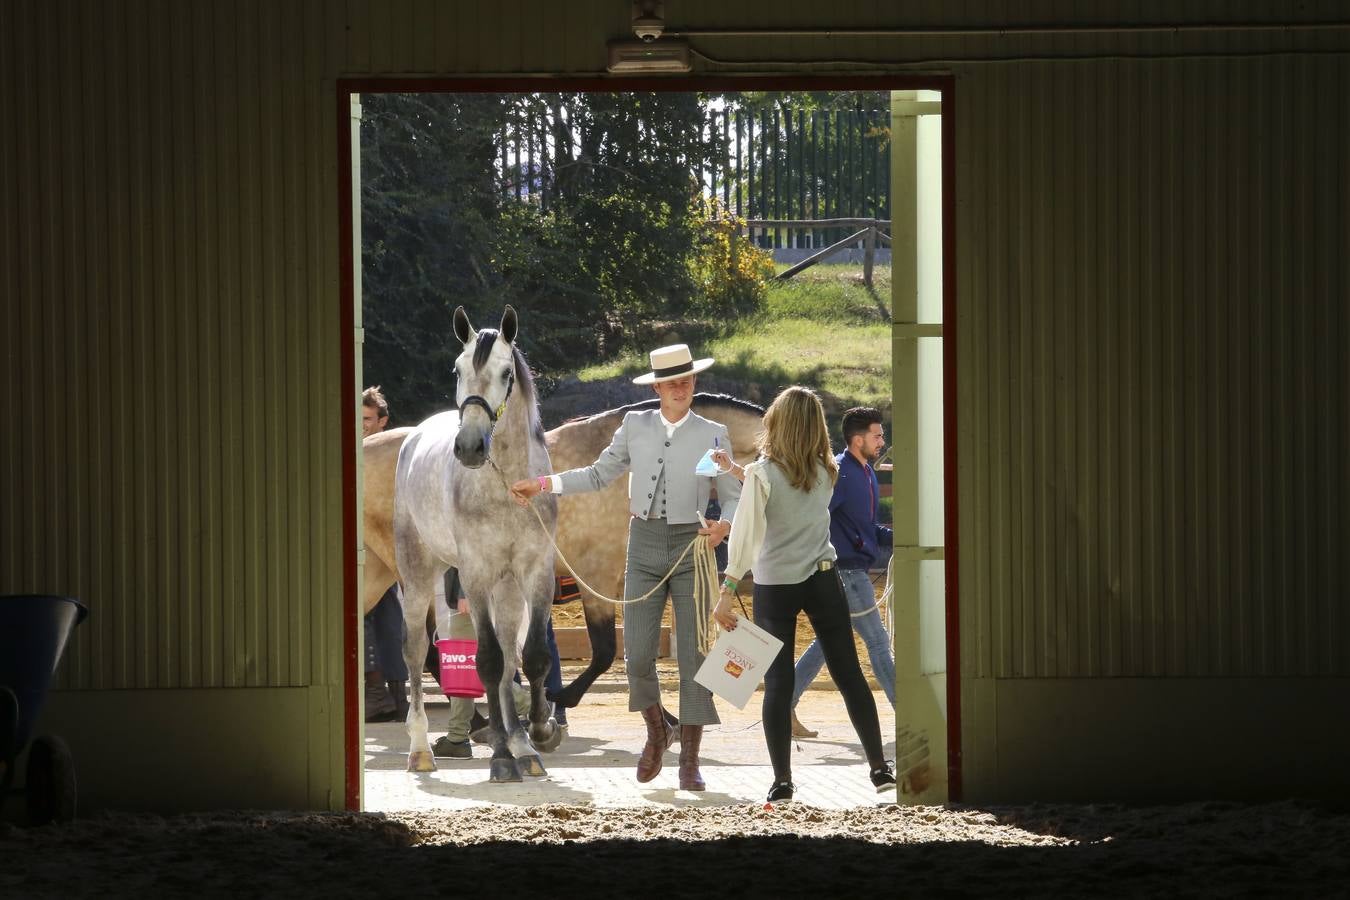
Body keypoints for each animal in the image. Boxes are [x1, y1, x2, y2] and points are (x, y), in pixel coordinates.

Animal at [394, 304, 561, 782]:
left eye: (506, 373)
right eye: (458, 369)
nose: (468, 447)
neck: (505, 487)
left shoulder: (535, 570)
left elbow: (532, 656)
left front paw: (539, 733)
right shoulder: (476, 574)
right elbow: (486, 661)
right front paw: (502, 758)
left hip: (507, 590)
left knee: (509, 658)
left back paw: (523, 745)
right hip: (417, 574)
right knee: (415, 651)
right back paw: (420, 749)